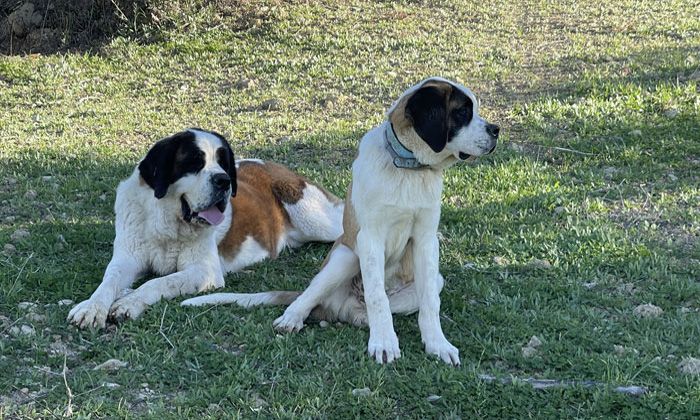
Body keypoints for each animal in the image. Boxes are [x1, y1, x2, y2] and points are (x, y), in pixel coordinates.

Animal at [68, 128, 344, 328]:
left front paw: (129, 303)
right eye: (193, 162)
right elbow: (109, 281)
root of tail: (274, 165)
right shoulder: (126, 259)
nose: (223, 180)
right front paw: (91, 308)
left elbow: (160, 282)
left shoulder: (204, 271)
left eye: (223, 163)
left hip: (314, 219)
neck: (167, 221)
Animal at [180, 77, 498, 366]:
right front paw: (384, 343)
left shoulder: (426, 240)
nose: (496, 130)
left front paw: (437, 344)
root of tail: (344, 307)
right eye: (462, 112)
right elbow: (377, 296)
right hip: (345, 255)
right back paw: (292, 318)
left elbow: (430, 301)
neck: (408, 169)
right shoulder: (369, 238)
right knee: (310, 295)